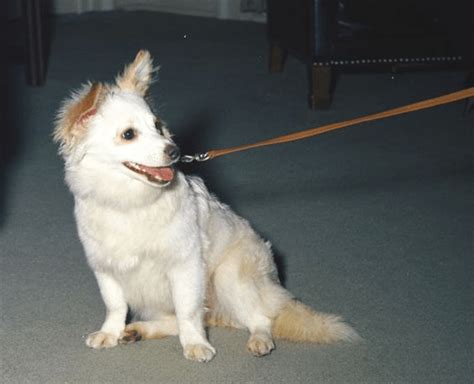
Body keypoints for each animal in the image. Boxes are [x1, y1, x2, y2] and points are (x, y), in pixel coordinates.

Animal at [53, 49, 358, 362]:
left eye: (158, 127)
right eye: (128, 134)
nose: (174, 151)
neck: (128, 201)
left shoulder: (185, 265)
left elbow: (188, 312)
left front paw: (196, 345)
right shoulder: (106, 269)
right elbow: (116, 306)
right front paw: (110, 333)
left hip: (229, 277)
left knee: (260, 318)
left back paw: (259, 341)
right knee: (178, 320)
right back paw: (137, 330)